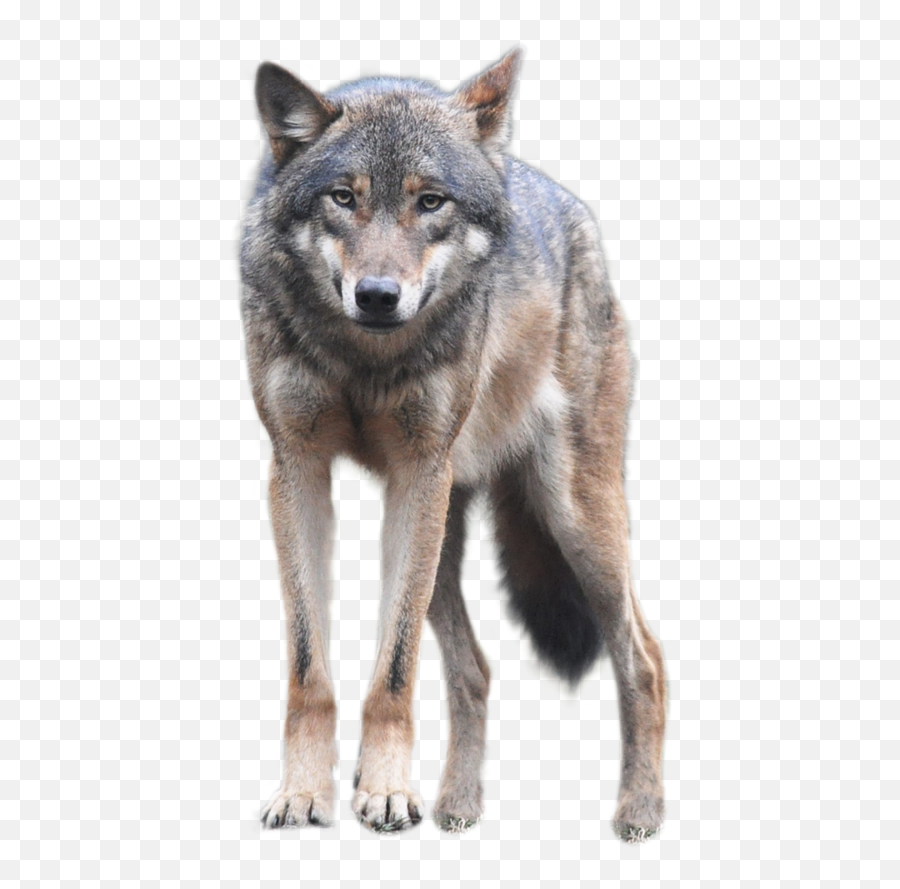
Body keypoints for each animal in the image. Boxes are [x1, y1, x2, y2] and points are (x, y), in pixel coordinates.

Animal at [240, 50, 666, 840]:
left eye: (431, 202)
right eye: (343, 198)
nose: (377, 295)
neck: (366, 361)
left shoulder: (416, 474)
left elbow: (393, 669)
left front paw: (383, 793)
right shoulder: (297, 469)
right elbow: (312, 668)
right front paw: (308, 793)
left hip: (571, 520)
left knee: (644, 657)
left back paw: (641, 811)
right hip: (444, 537)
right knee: (475, 670)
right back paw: (457, 805)